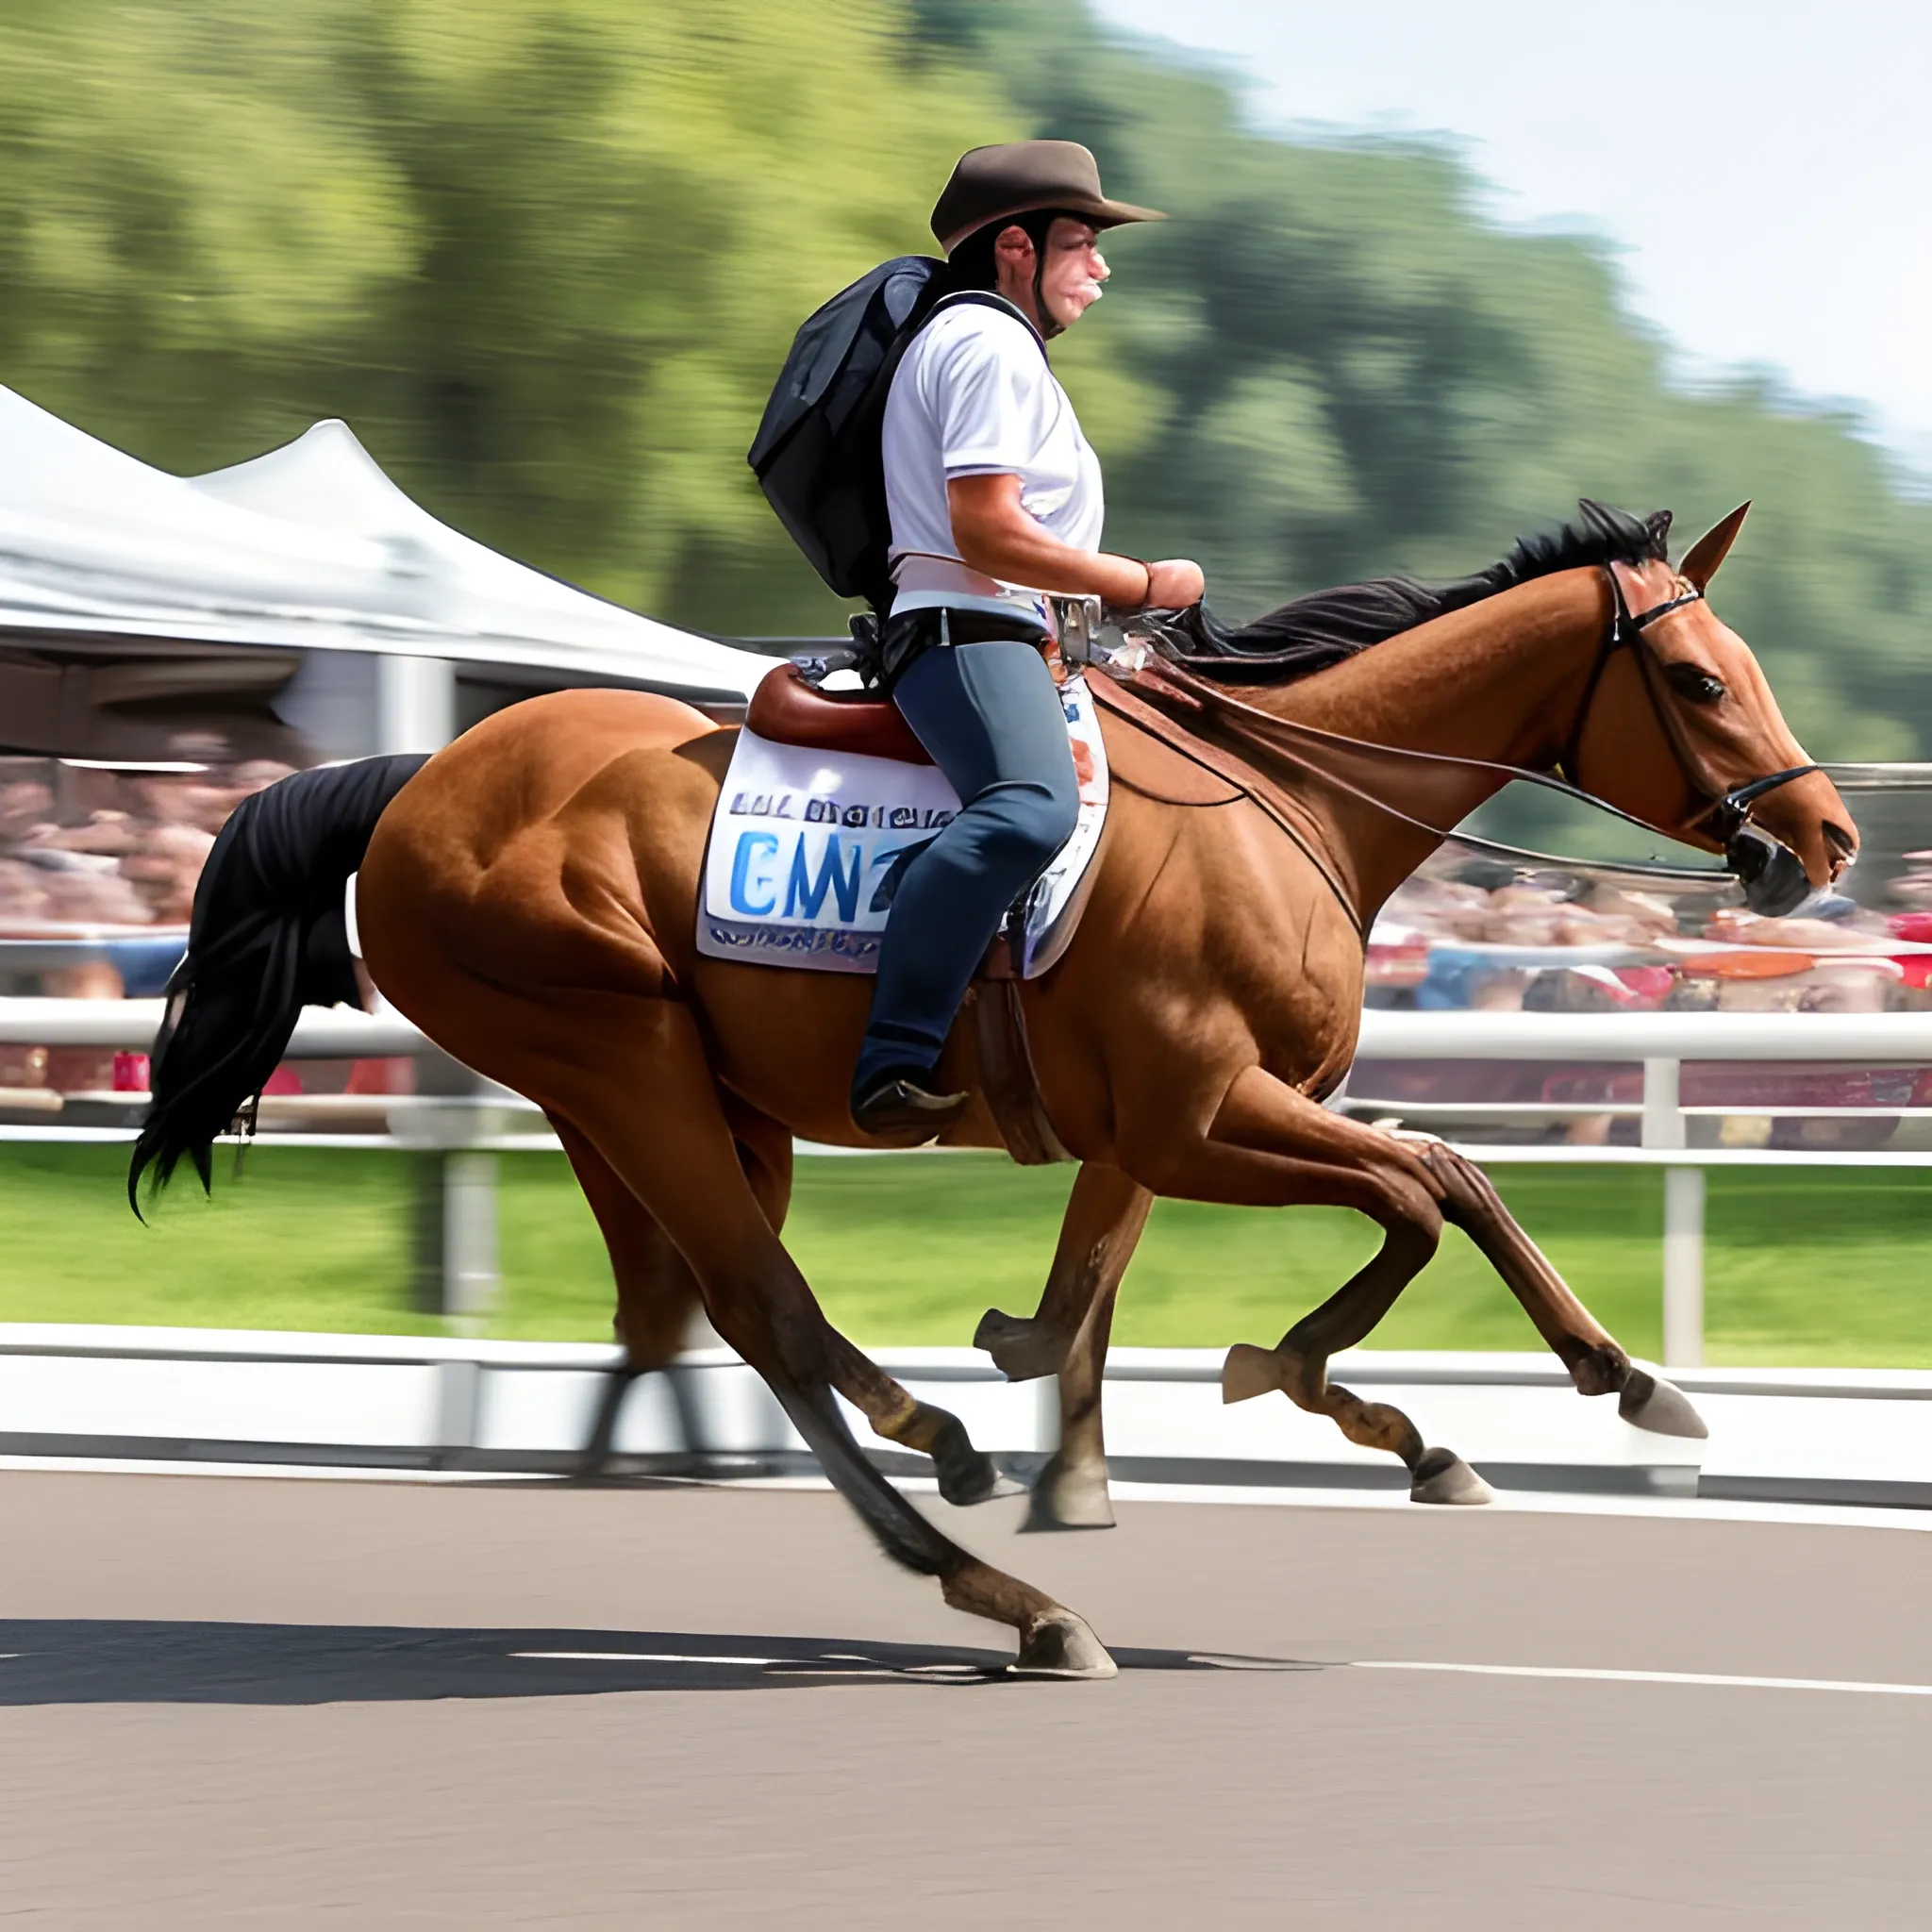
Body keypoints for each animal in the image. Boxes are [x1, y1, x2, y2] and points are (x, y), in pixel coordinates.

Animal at [136, 498, 1855, 1676]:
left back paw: (942, 1444)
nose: (1824, 841)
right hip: (618, 1059)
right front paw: (1368, 1382)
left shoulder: (1152, 1133)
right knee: (755, 1307)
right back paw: (1008, 1597)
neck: (1282, 797)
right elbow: (1429, 1188)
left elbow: (1128, 1272)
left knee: (703, 1302)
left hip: (655, 1094)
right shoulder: (1199, 1113)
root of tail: (415, 781)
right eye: (1702, 680)